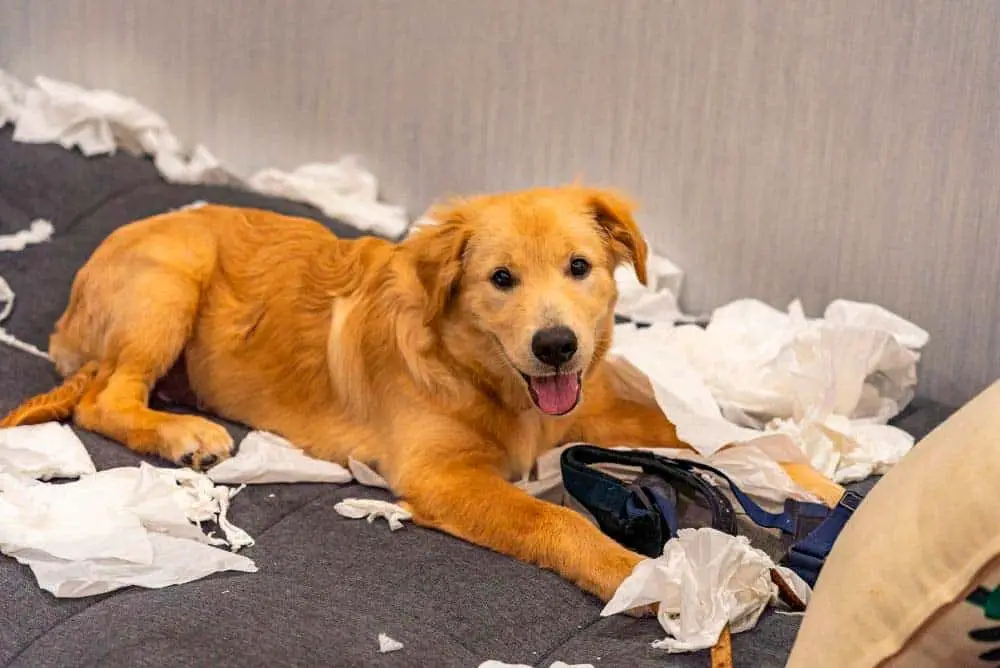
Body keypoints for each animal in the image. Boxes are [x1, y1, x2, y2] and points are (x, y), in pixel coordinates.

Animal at [0, 185, 844, 604]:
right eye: (500, 279)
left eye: (579, 267)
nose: (557, 346)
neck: (493, 381)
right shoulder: (444, 475)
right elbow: (553, 520)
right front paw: (631, 571)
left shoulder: (598, 406)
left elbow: (714, 439)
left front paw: (813, 480)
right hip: (170, 283)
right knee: (104, 400)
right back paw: (181, 434)